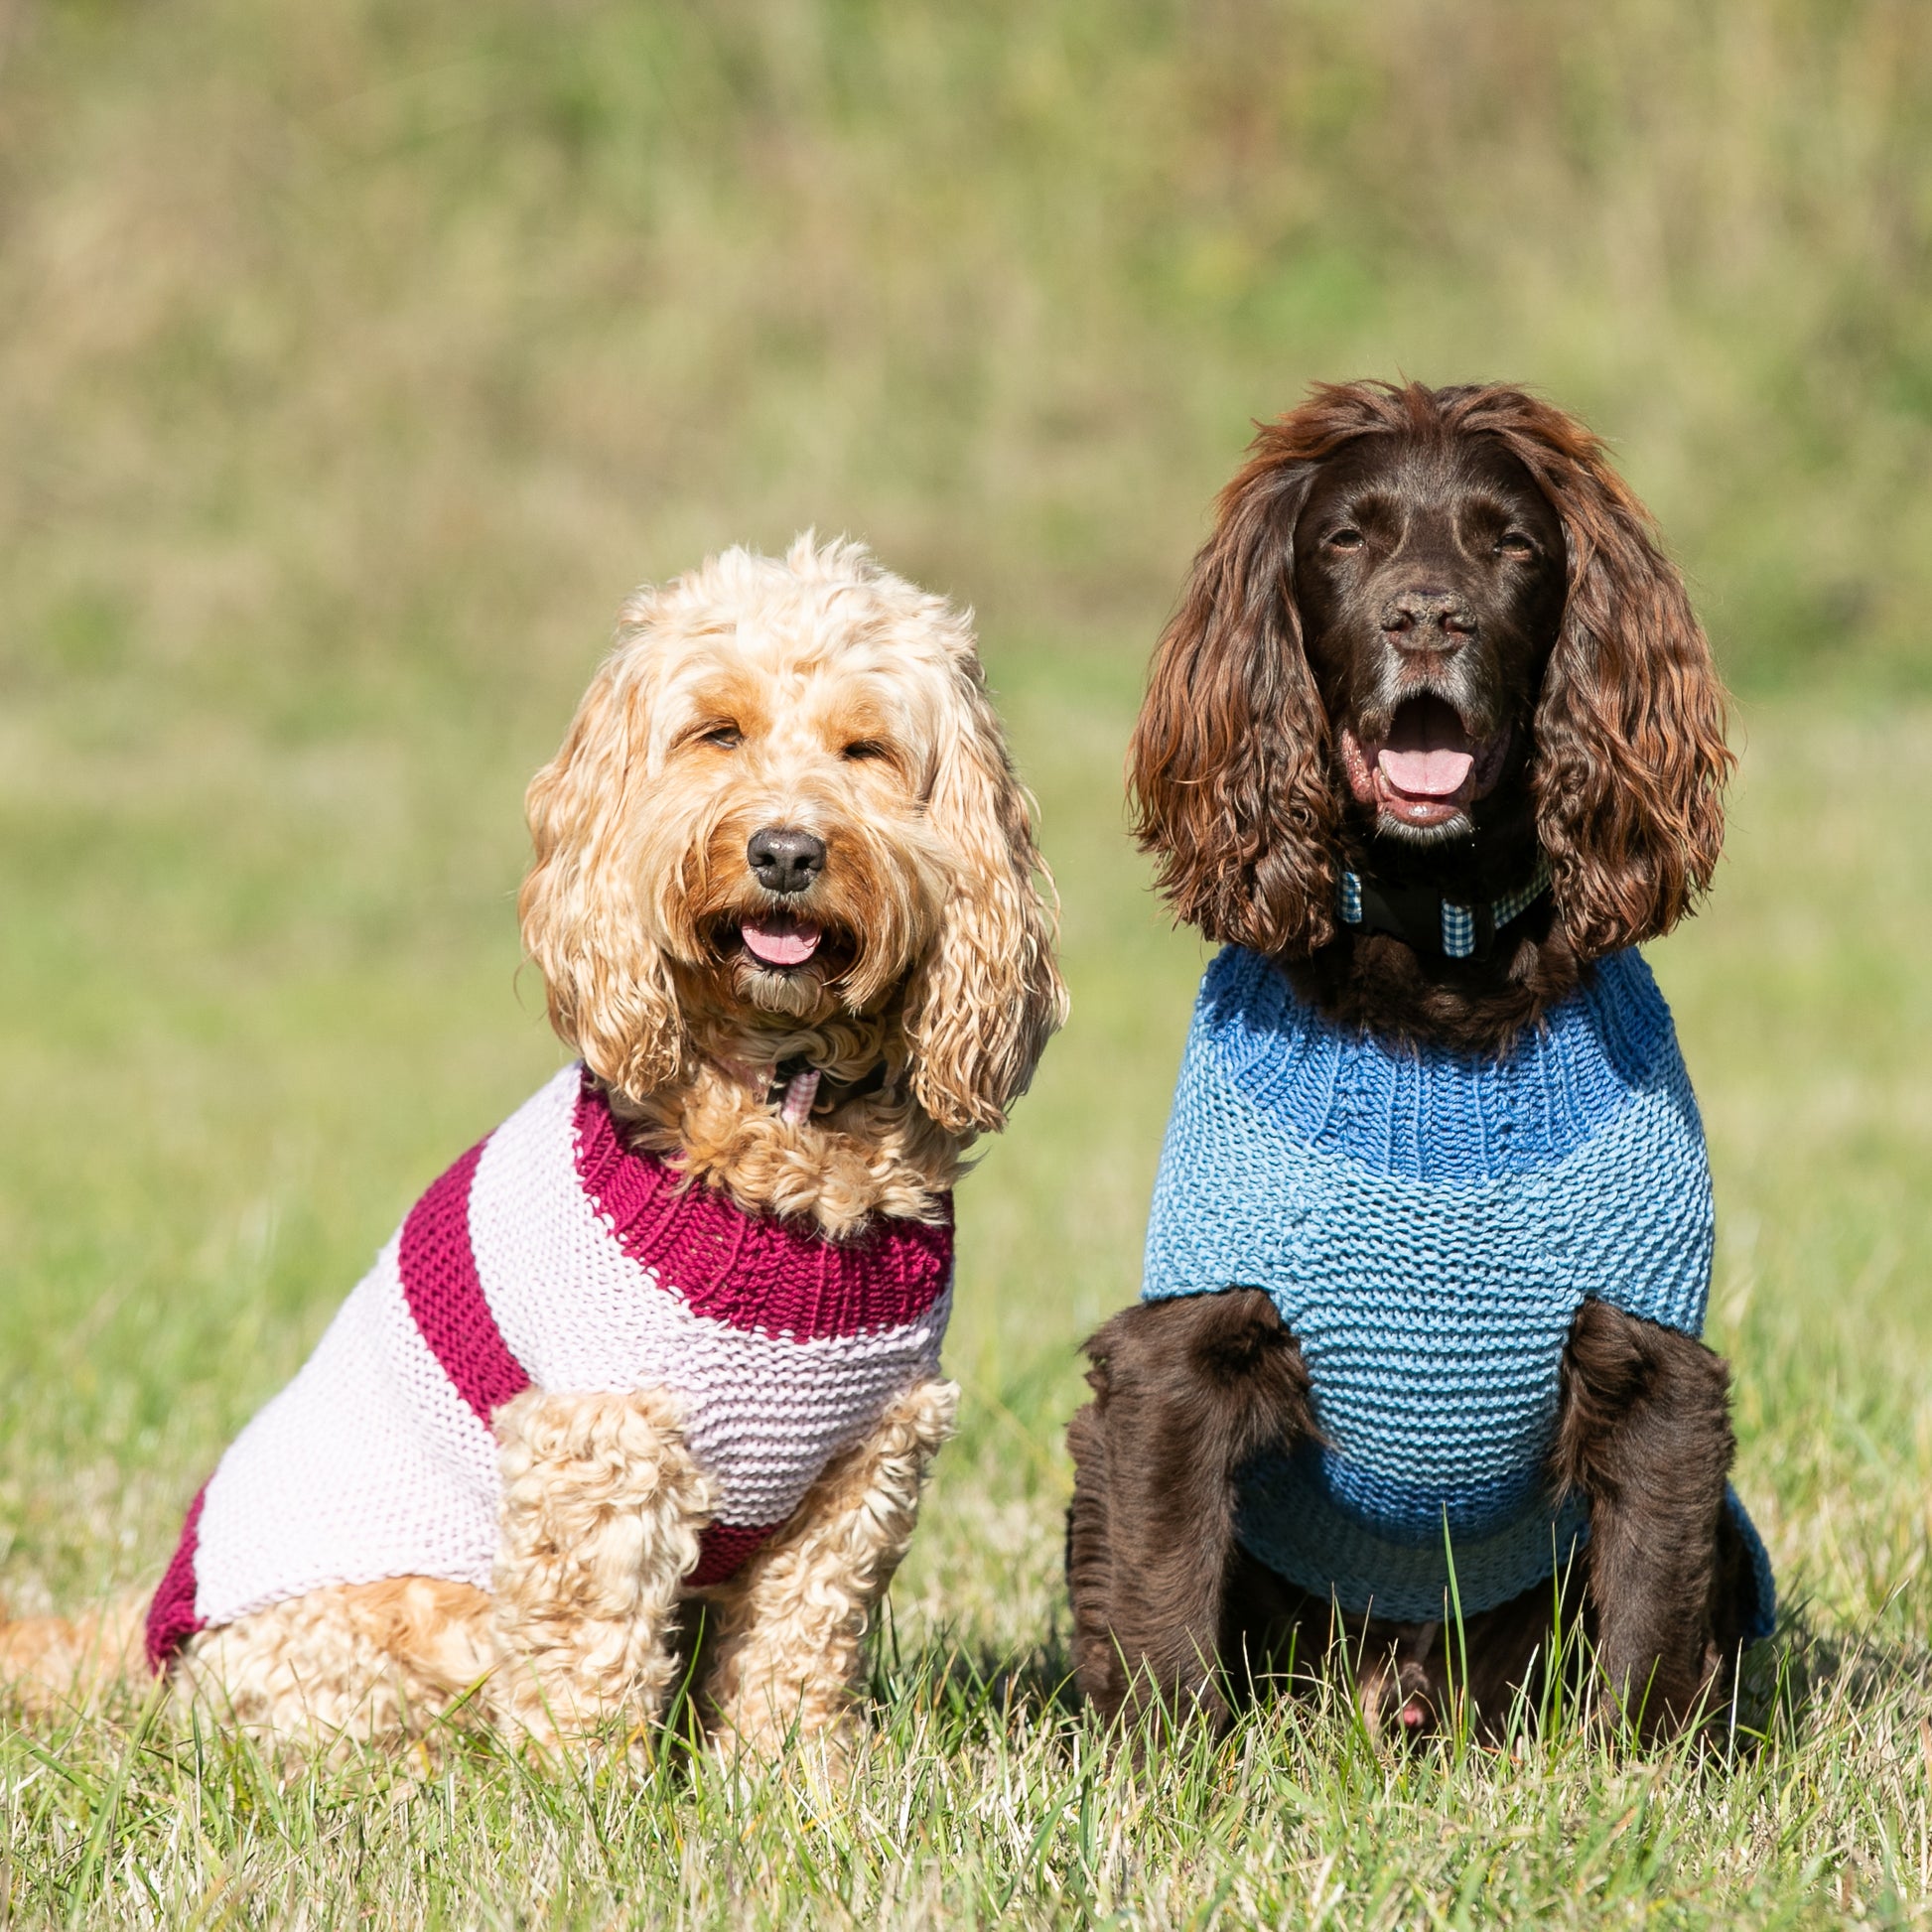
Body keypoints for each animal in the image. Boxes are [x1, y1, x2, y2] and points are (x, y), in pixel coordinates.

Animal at [0, 536, 1066, 1761]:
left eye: (867, 749)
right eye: (718, 732)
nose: (788, 850)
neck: (780, 1095)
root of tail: (152, 1636)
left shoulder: (865, 1462)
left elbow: (799, 1654)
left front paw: (796, 1781)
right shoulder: (602, 1442)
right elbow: (592, 1659)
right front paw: (590, 1793)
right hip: (400, 1611)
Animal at [1066, 384, 1761, 1746]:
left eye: (1513, 544)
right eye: (1346, 538)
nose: (1426, 617)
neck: (1437, 957)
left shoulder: (1659, 1372)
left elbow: (1648, 1636)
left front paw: (1635, 1776)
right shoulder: (1172, 1364)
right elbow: (1160, 1602)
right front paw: (1169, 1773)